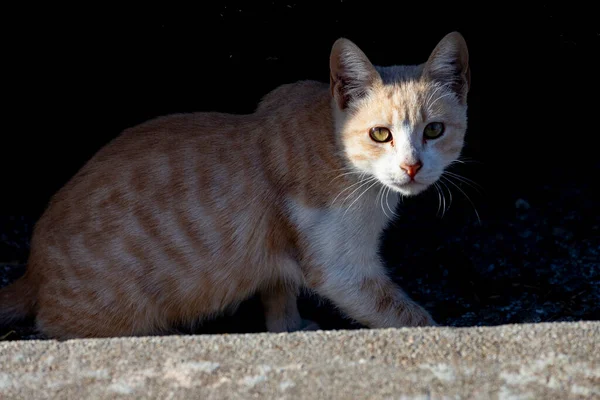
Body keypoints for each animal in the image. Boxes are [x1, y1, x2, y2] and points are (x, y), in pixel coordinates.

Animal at [0, 32, 468, 338]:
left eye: (434, 130)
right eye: (380, 134)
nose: (412, 166)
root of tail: (33, 271)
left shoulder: (283, 260)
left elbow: (278, 295)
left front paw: (289, 327)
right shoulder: (342, 269)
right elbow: (403, 313)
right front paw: (438, 331)